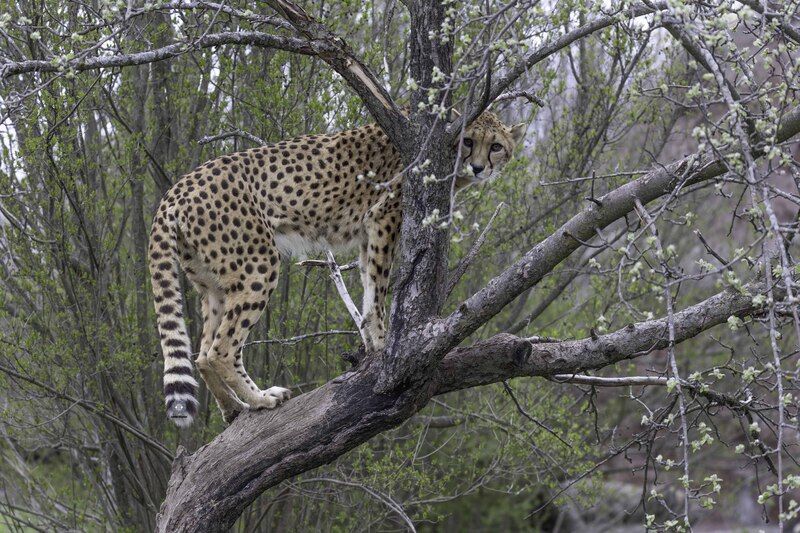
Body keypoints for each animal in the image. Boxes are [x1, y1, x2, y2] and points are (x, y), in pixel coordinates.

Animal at [148, 111, 525, 427]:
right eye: (468, 141)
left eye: (495, 146)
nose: (478, 167)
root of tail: (177, 187)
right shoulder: (383, 217)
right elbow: (378, 289)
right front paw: (383, 344)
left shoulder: (368, 233)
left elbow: (369, 284)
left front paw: (371, 343)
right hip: (258, 266)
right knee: (221, 350)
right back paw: (261, 399)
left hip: (213, 283)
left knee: (202, 354)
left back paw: (234, 408)